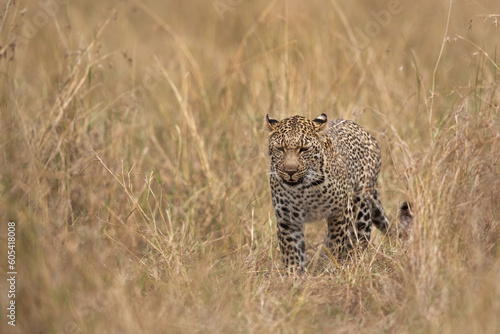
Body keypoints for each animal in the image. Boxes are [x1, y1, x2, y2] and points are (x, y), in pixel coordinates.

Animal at [266, 113, 410, 272]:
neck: (303, 190)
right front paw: (293, 274)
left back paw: (356, 261)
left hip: (361, 204)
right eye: (280, 148)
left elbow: (337, 242)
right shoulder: (287, 220)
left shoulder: (340, 212)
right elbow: (292, 252)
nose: (290, 171)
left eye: (304, 149)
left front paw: (332, 266)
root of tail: (363, 131)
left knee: (361, 237)